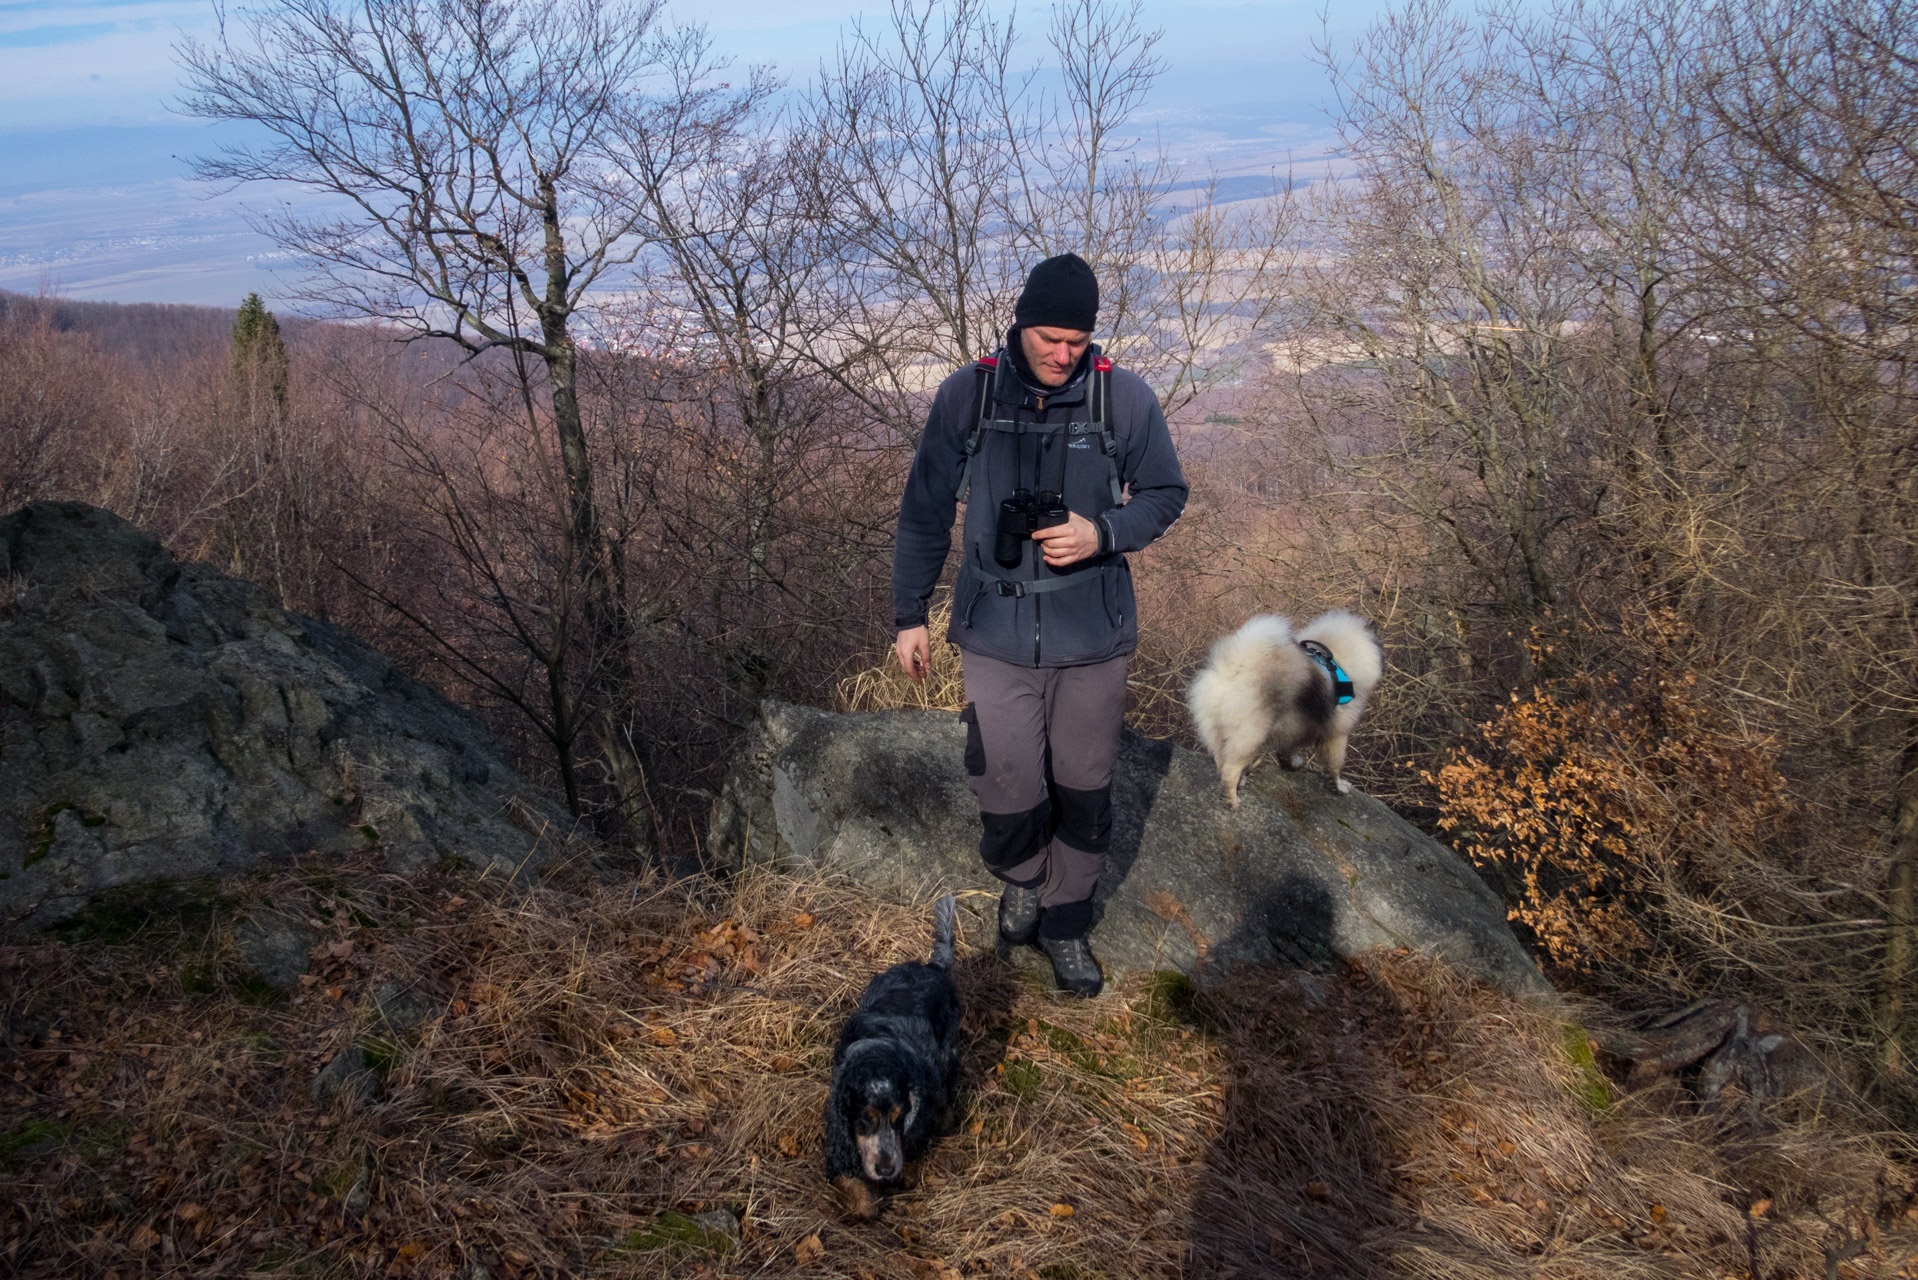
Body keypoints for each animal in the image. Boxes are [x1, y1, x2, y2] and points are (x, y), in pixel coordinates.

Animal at [1181, 610, 1380, 805]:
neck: (1336, 662)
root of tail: (1236, 667)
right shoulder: (1337, 734)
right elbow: (1334, 766)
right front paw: (1339, 787)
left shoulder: (1294, 727)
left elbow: (1287, 751)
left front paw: (1292, 765)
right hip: (1250, 734)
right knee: (1230, 769)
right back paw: (1232, 800)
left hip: (1219, 731)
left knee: (1221, 762)